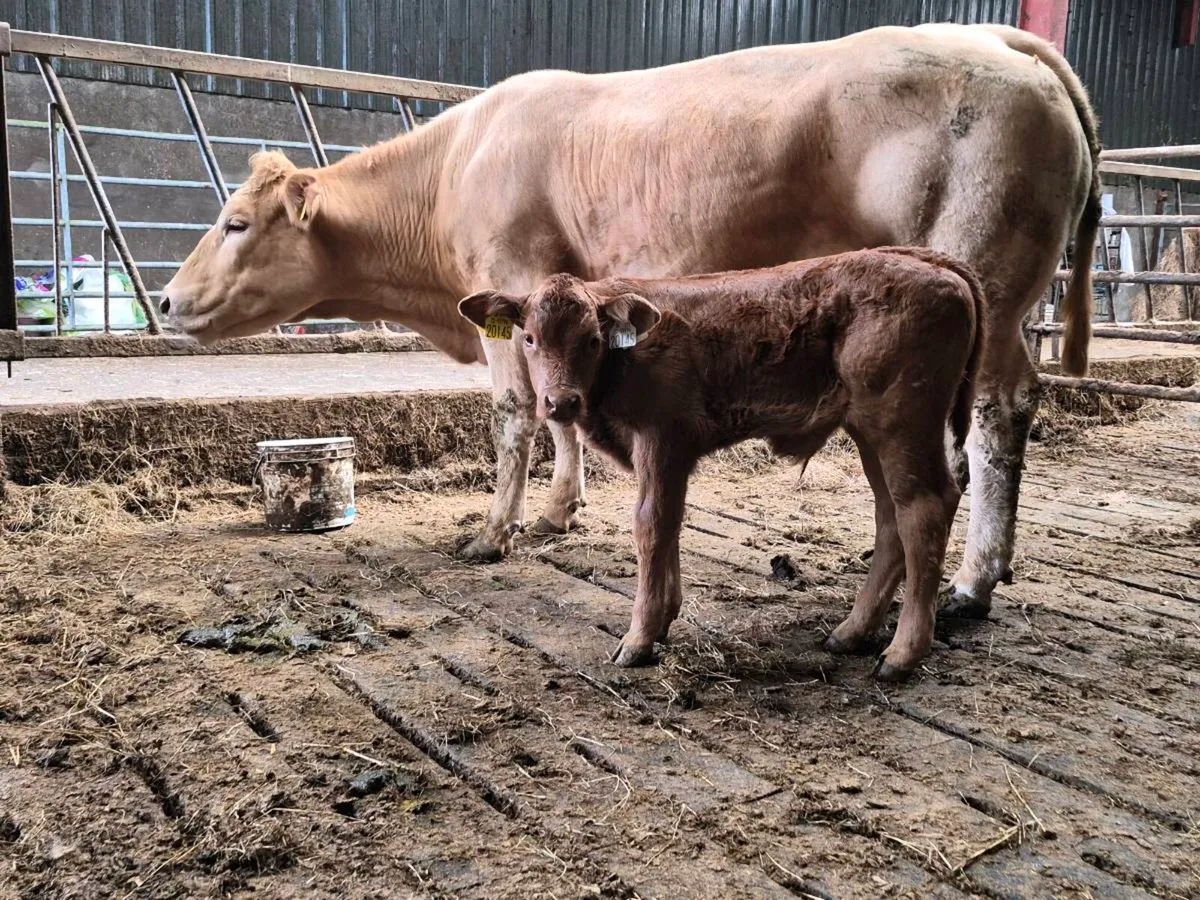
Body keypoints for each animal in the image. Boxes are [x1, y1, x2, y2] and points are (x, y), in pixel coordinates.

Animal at [161, 23, 1100, 621]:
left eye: (235, 224)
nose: (166, 300)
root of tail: (1002, 40)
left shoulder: (509, 274)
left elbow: (514, 417)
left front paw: (493, 533)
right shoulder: (548, 304)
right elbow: (558, 415)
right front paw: (557, 513)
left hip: (986, 275)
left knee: (999, 412)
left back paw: (973, 583)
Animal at [457, 247, 984, 678]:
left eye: (591, 339)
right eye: (528, 337)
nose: (561, 401)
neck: (627, 360)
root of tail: (932, 262)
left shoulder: (661, 440)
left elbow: (650, 524)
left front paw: (638, 639)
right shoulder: (671, 457)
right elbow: (669, 523)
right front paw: (663, 619)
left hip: (901, 426)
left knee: (924, 509)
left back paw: (902, 653)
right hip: (871, 433)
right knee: (890, 516)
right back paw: (850, 633)